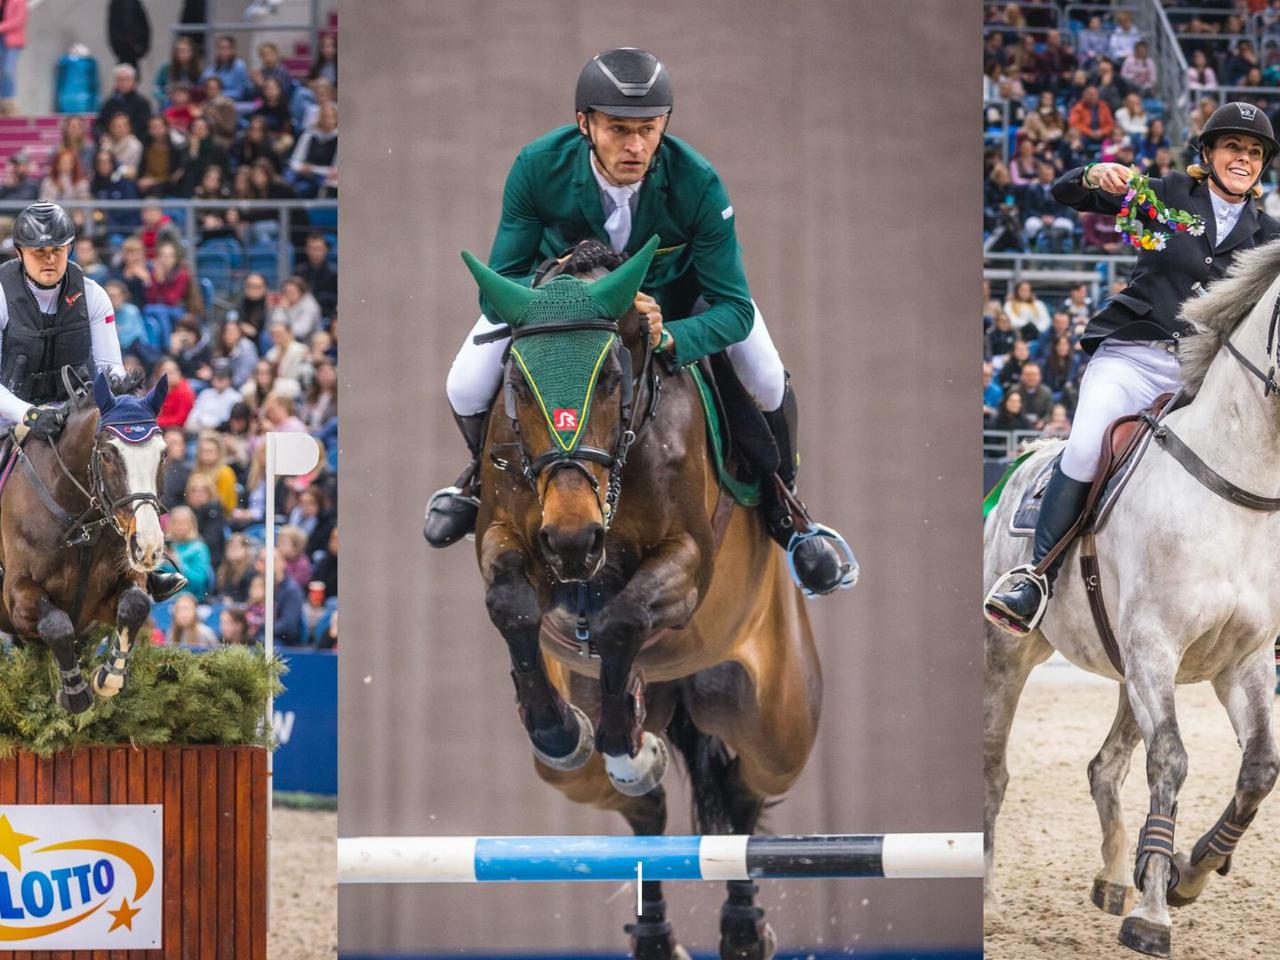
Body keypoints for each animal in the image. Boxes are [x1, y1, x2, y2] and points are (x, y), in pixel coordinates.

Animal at [1, 368, 168, 716]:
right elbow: (57, 625)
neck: (82, 522)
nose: (148, 547)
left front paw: (110, 676)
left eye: (164, 454)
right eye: (107, 454)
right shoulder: (16, 594)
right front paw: (74, 694)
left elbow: (135, 605)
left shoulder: (111, 593)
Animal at [465, 239, 824, 960]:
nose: (574, 538)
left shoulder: (687, 561)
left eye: (610, 378)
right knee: (645, 807)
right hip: (592, 763)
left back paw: (744, 927)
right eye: (518, 381)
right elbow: (512, 607)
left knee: (740, 796)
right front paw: (560, 729)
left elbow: (623, 616)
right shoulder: (507, 536)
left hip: (777, 726)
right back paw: (655, 920)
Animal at [983, 239, 1280, 957]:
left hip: (1124, 667)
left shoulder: (1243, 660)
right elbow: (1170, 761)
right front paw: (1153, 913)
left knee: (1104, 767)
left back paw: (1117, 877)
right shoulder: (1155, 646)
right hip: (1008, 657)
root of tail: (1024, 460)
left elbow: (1259, 768)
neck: (1237, 485)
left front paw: (1187, 872)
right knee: (995, 772)